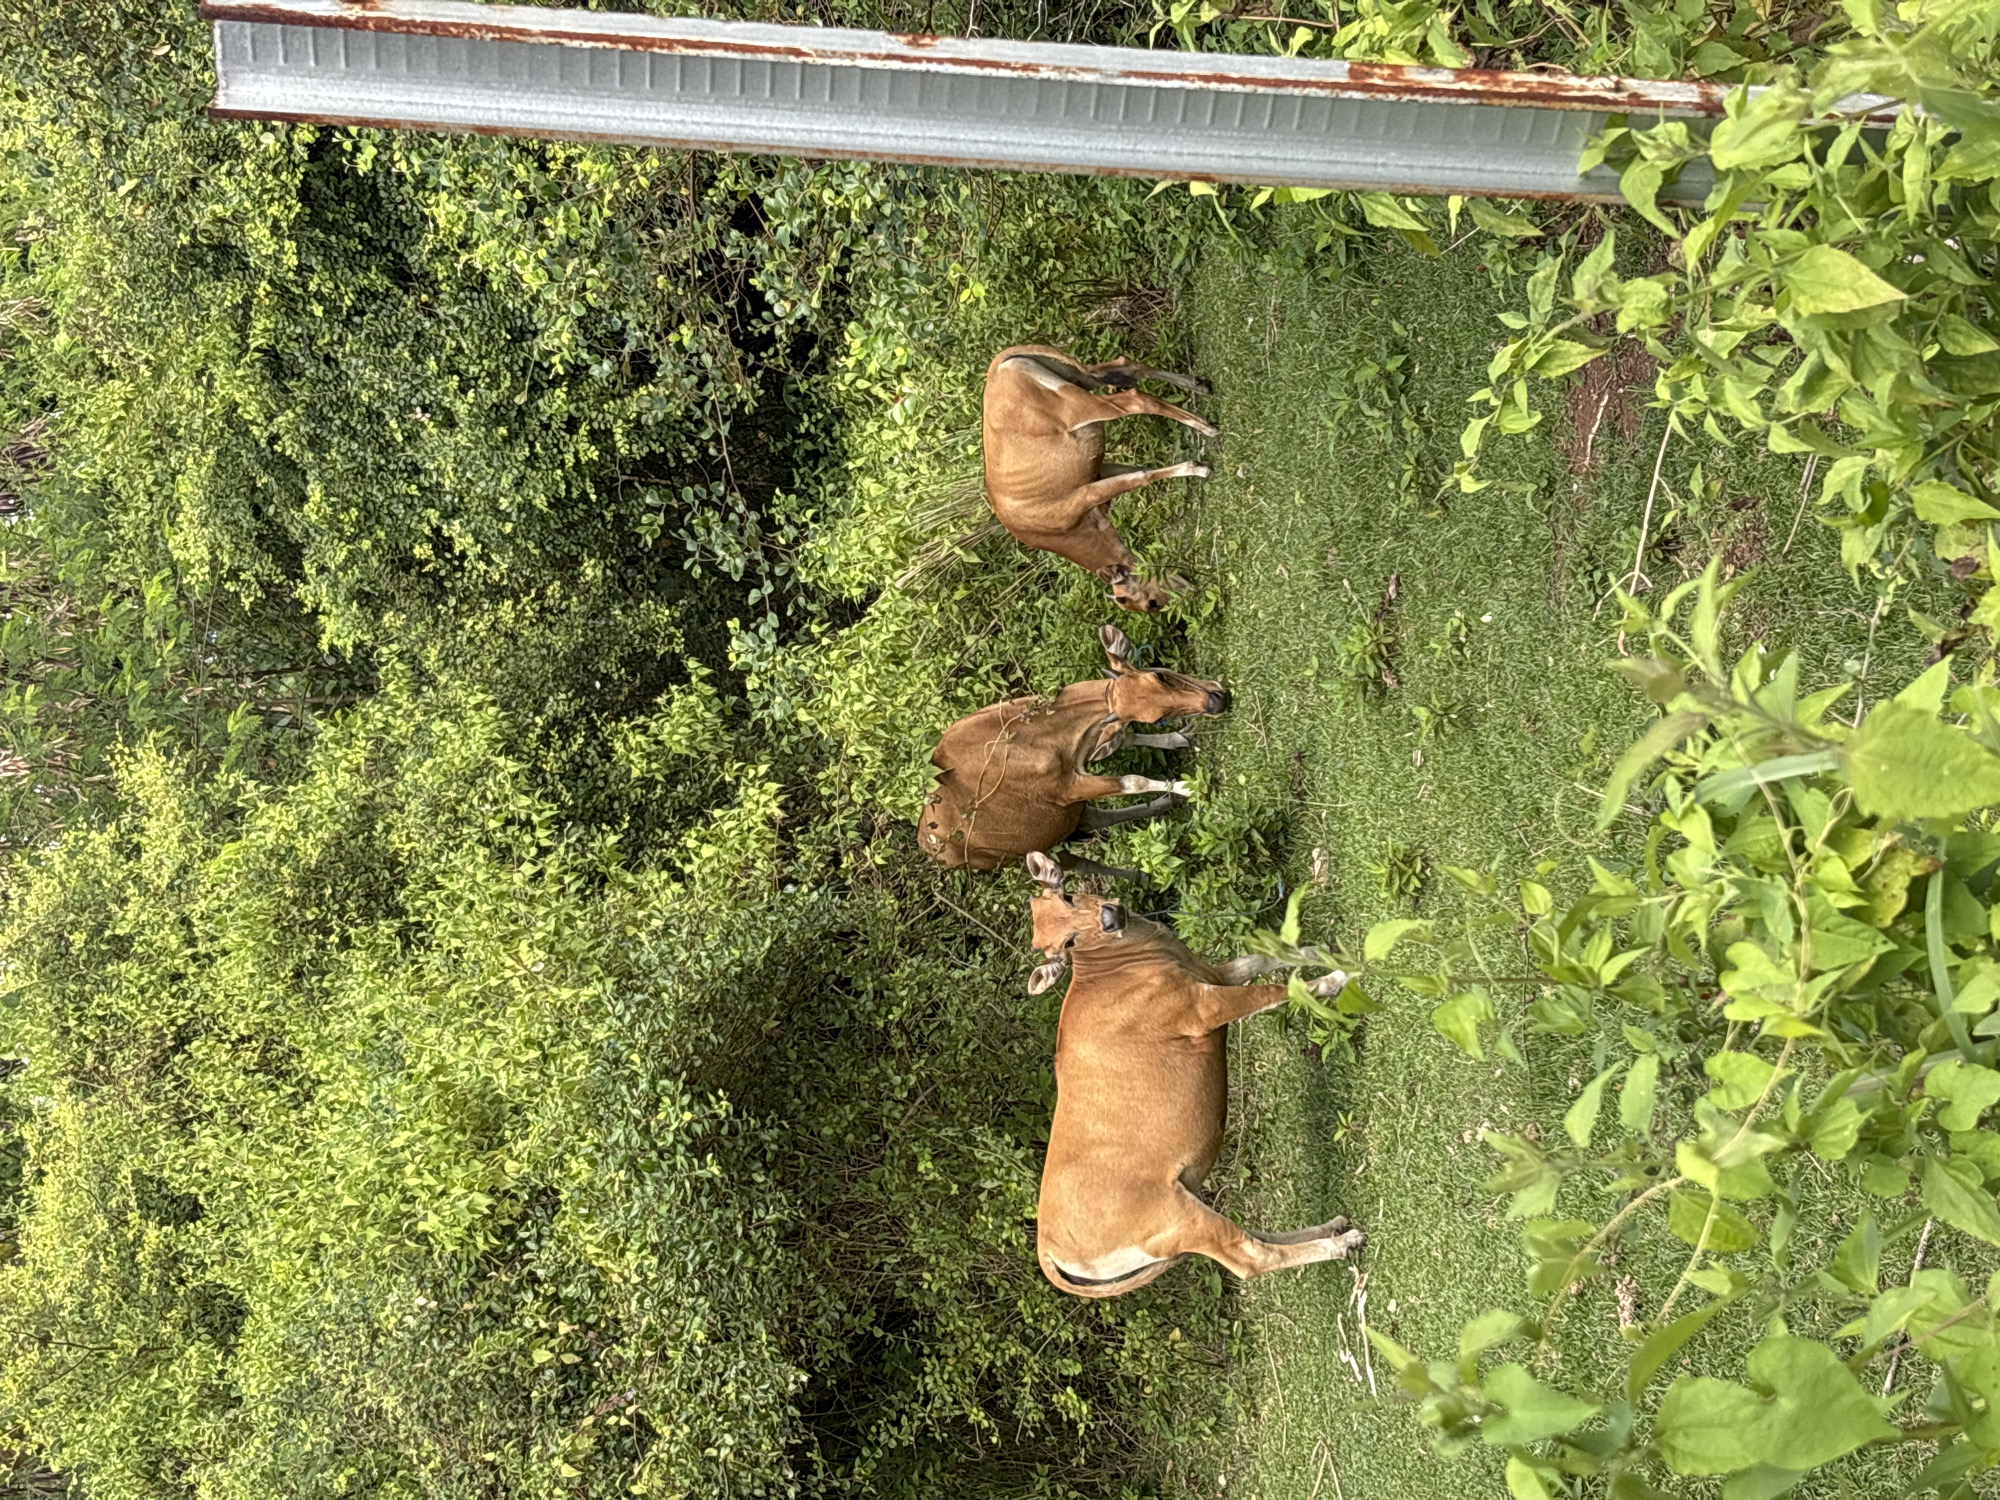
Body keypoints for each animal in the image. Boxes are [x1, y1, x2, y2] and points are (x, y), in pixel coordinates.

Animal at [920, 625, 1226, 877]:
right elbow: (1133, 781)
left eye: (1161, 676)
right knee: (1081, 863)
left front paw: (1181, 740)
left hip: (1065, 821)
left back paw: (1165, 804)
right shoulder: (1067, 789)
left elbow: (1125, 737)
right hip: (1034, 851)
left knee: (1097, 818)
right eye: (1158, 715)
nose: (1217, 701)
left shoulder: (1085, 750)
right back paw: (1141, 877)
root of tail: (928, 845)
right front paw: (1189, 787)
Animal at [983, 344, 1217, 613]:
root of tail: (999, 364)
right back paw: (1199, 385)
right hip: (1080, 378)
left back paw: (1206, 426)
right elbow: (1140, 470)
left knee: (1134, 399)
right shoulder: (1100, 472)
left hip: (1075, 403)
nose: (1188, 598)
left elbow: (1139, 478)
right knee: (1126, 366)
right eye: (1152, 604)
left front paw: (1199, 469)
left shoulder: (1086, 493)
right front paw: (1195, 469)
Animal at [1023, 852, 1365, 1298]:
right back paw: (1343, 1242)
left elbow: (1261, 959)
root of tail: (1049, 1251)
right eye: (1068, 944)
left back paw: (1334, 1226)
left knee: (1249, 1235)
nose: (1109, 917)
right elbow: (1274, 991)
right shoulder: (1205, 1007)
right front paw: (1336, 977)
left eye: (1066, 896)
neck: (1120, 965)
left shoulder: (1212, 973)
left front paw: (1315, 951)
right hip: (1179, 1217)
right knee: (1249, 1258)